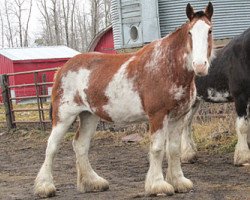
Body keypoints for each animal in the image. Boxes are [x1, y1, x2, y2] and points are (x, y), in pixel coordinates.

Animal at [34, 2, 214, 198]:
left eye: (209, 30)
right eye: (190, 33)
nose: (200, 65)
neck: (167, 66)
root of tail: (62, 69)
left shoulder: (178, 116)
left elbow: (173, 149)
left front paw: (179, 182)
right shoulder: (157, 116)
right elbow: (157, 148)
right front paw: (158, 185)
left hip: (89, 115)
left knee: (80, 145)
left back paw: (92, 182)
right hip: (63, 116)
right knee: (51, 147)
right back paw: (45, 187)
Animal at [181, 27, 250, 166]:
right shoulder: (241, 97)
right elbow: (243, 127)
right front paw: (243, 158)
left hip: (195, 101)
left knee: (187, 123)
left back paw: (189, 154)